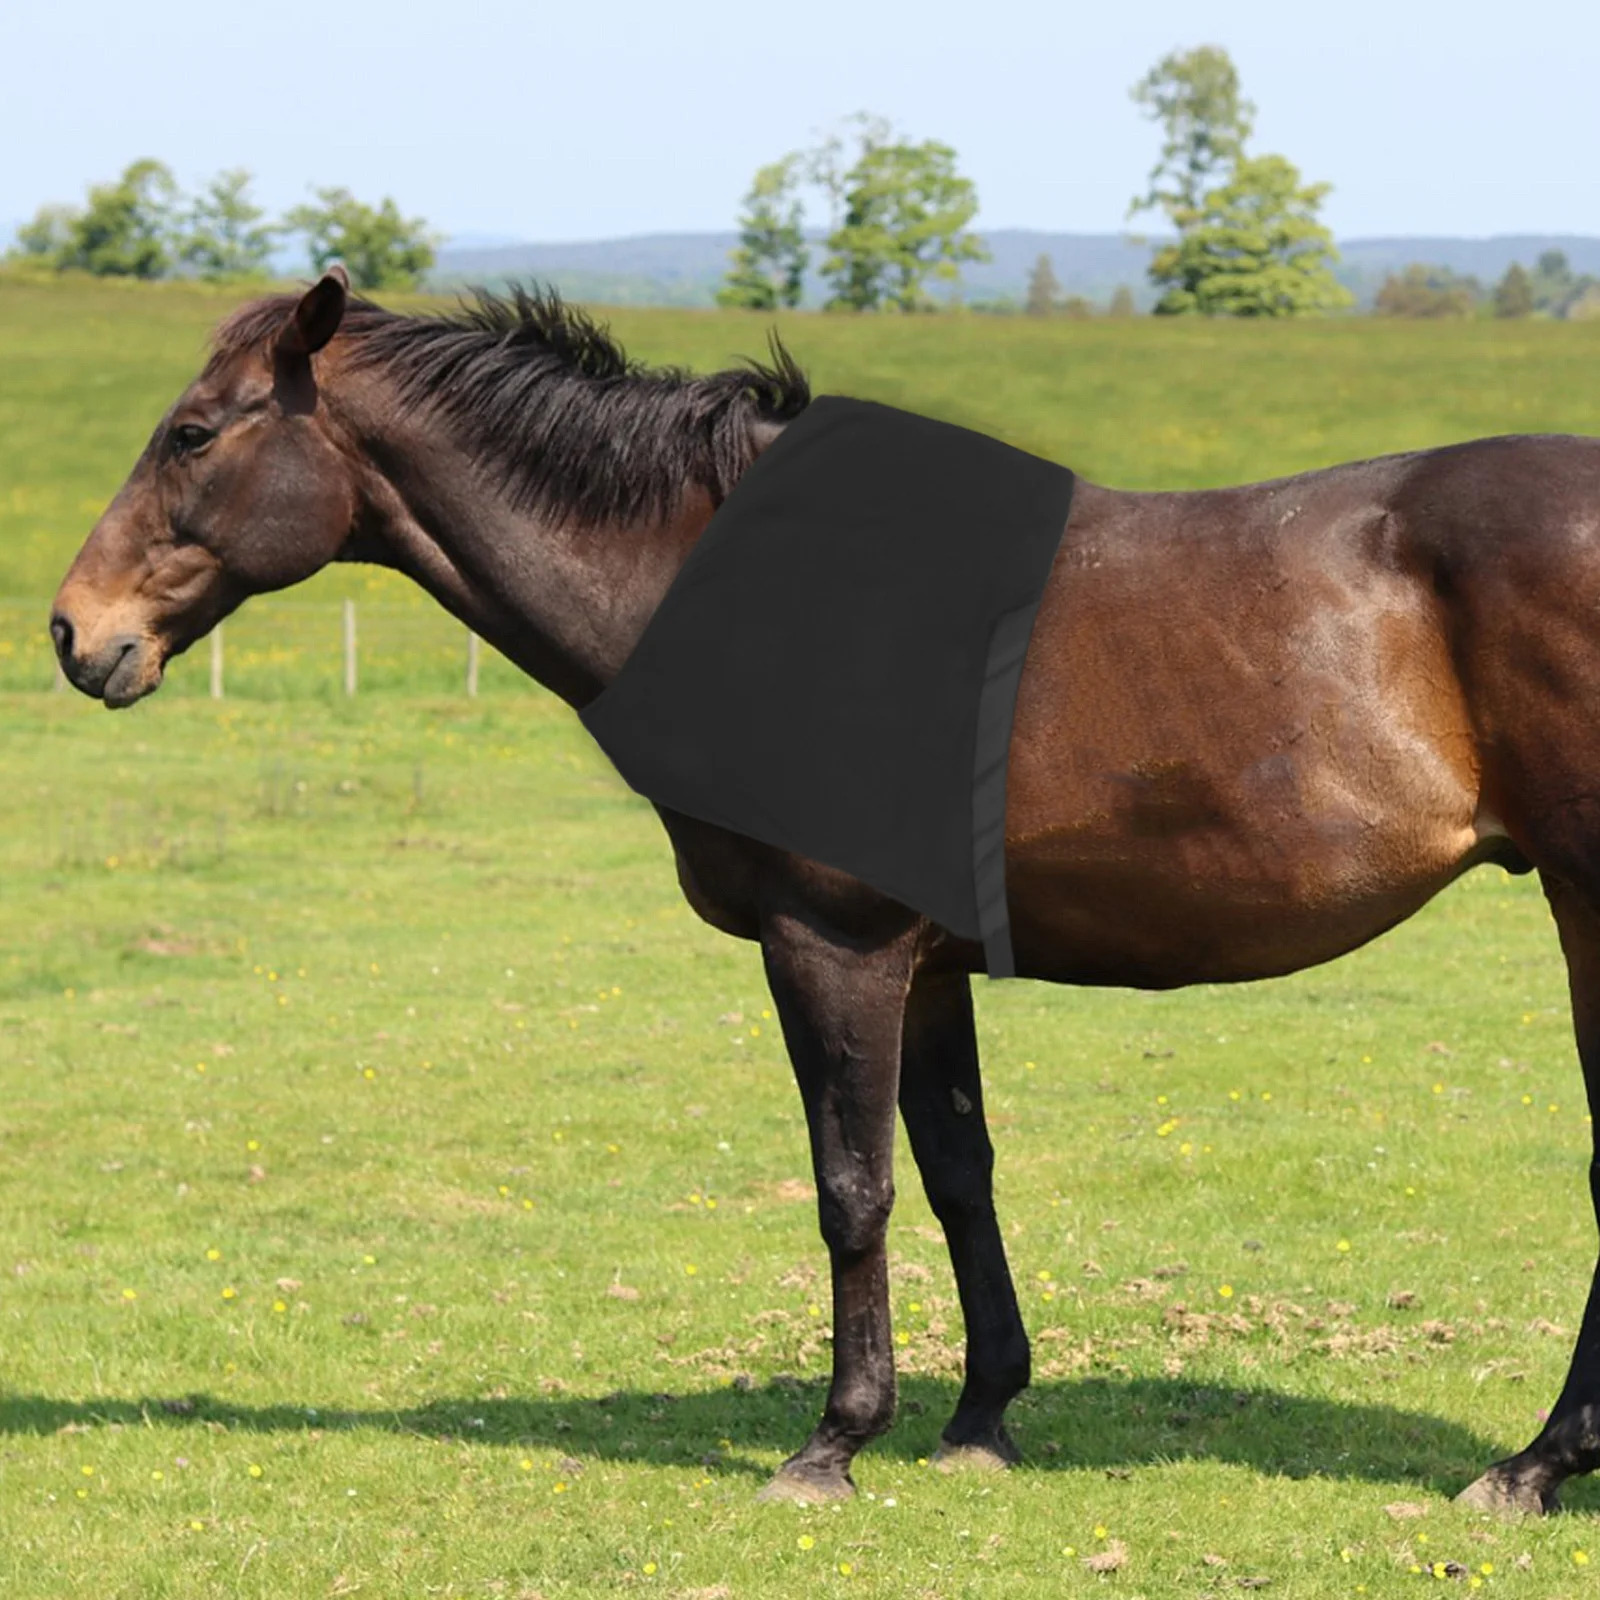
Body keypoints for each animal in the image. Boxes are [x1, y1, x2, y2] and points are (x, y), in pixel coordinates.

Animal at [49, 268, 1600, 1513]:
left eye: (194, 432)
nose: (74, 631)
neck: (757, 586)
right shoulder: (929, 963)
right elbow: (959, 1173)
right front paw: (979, 1419)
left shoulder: (831, 943)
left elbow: (852, 1186)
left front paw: (834, 1442)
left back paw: (1533, 1464)